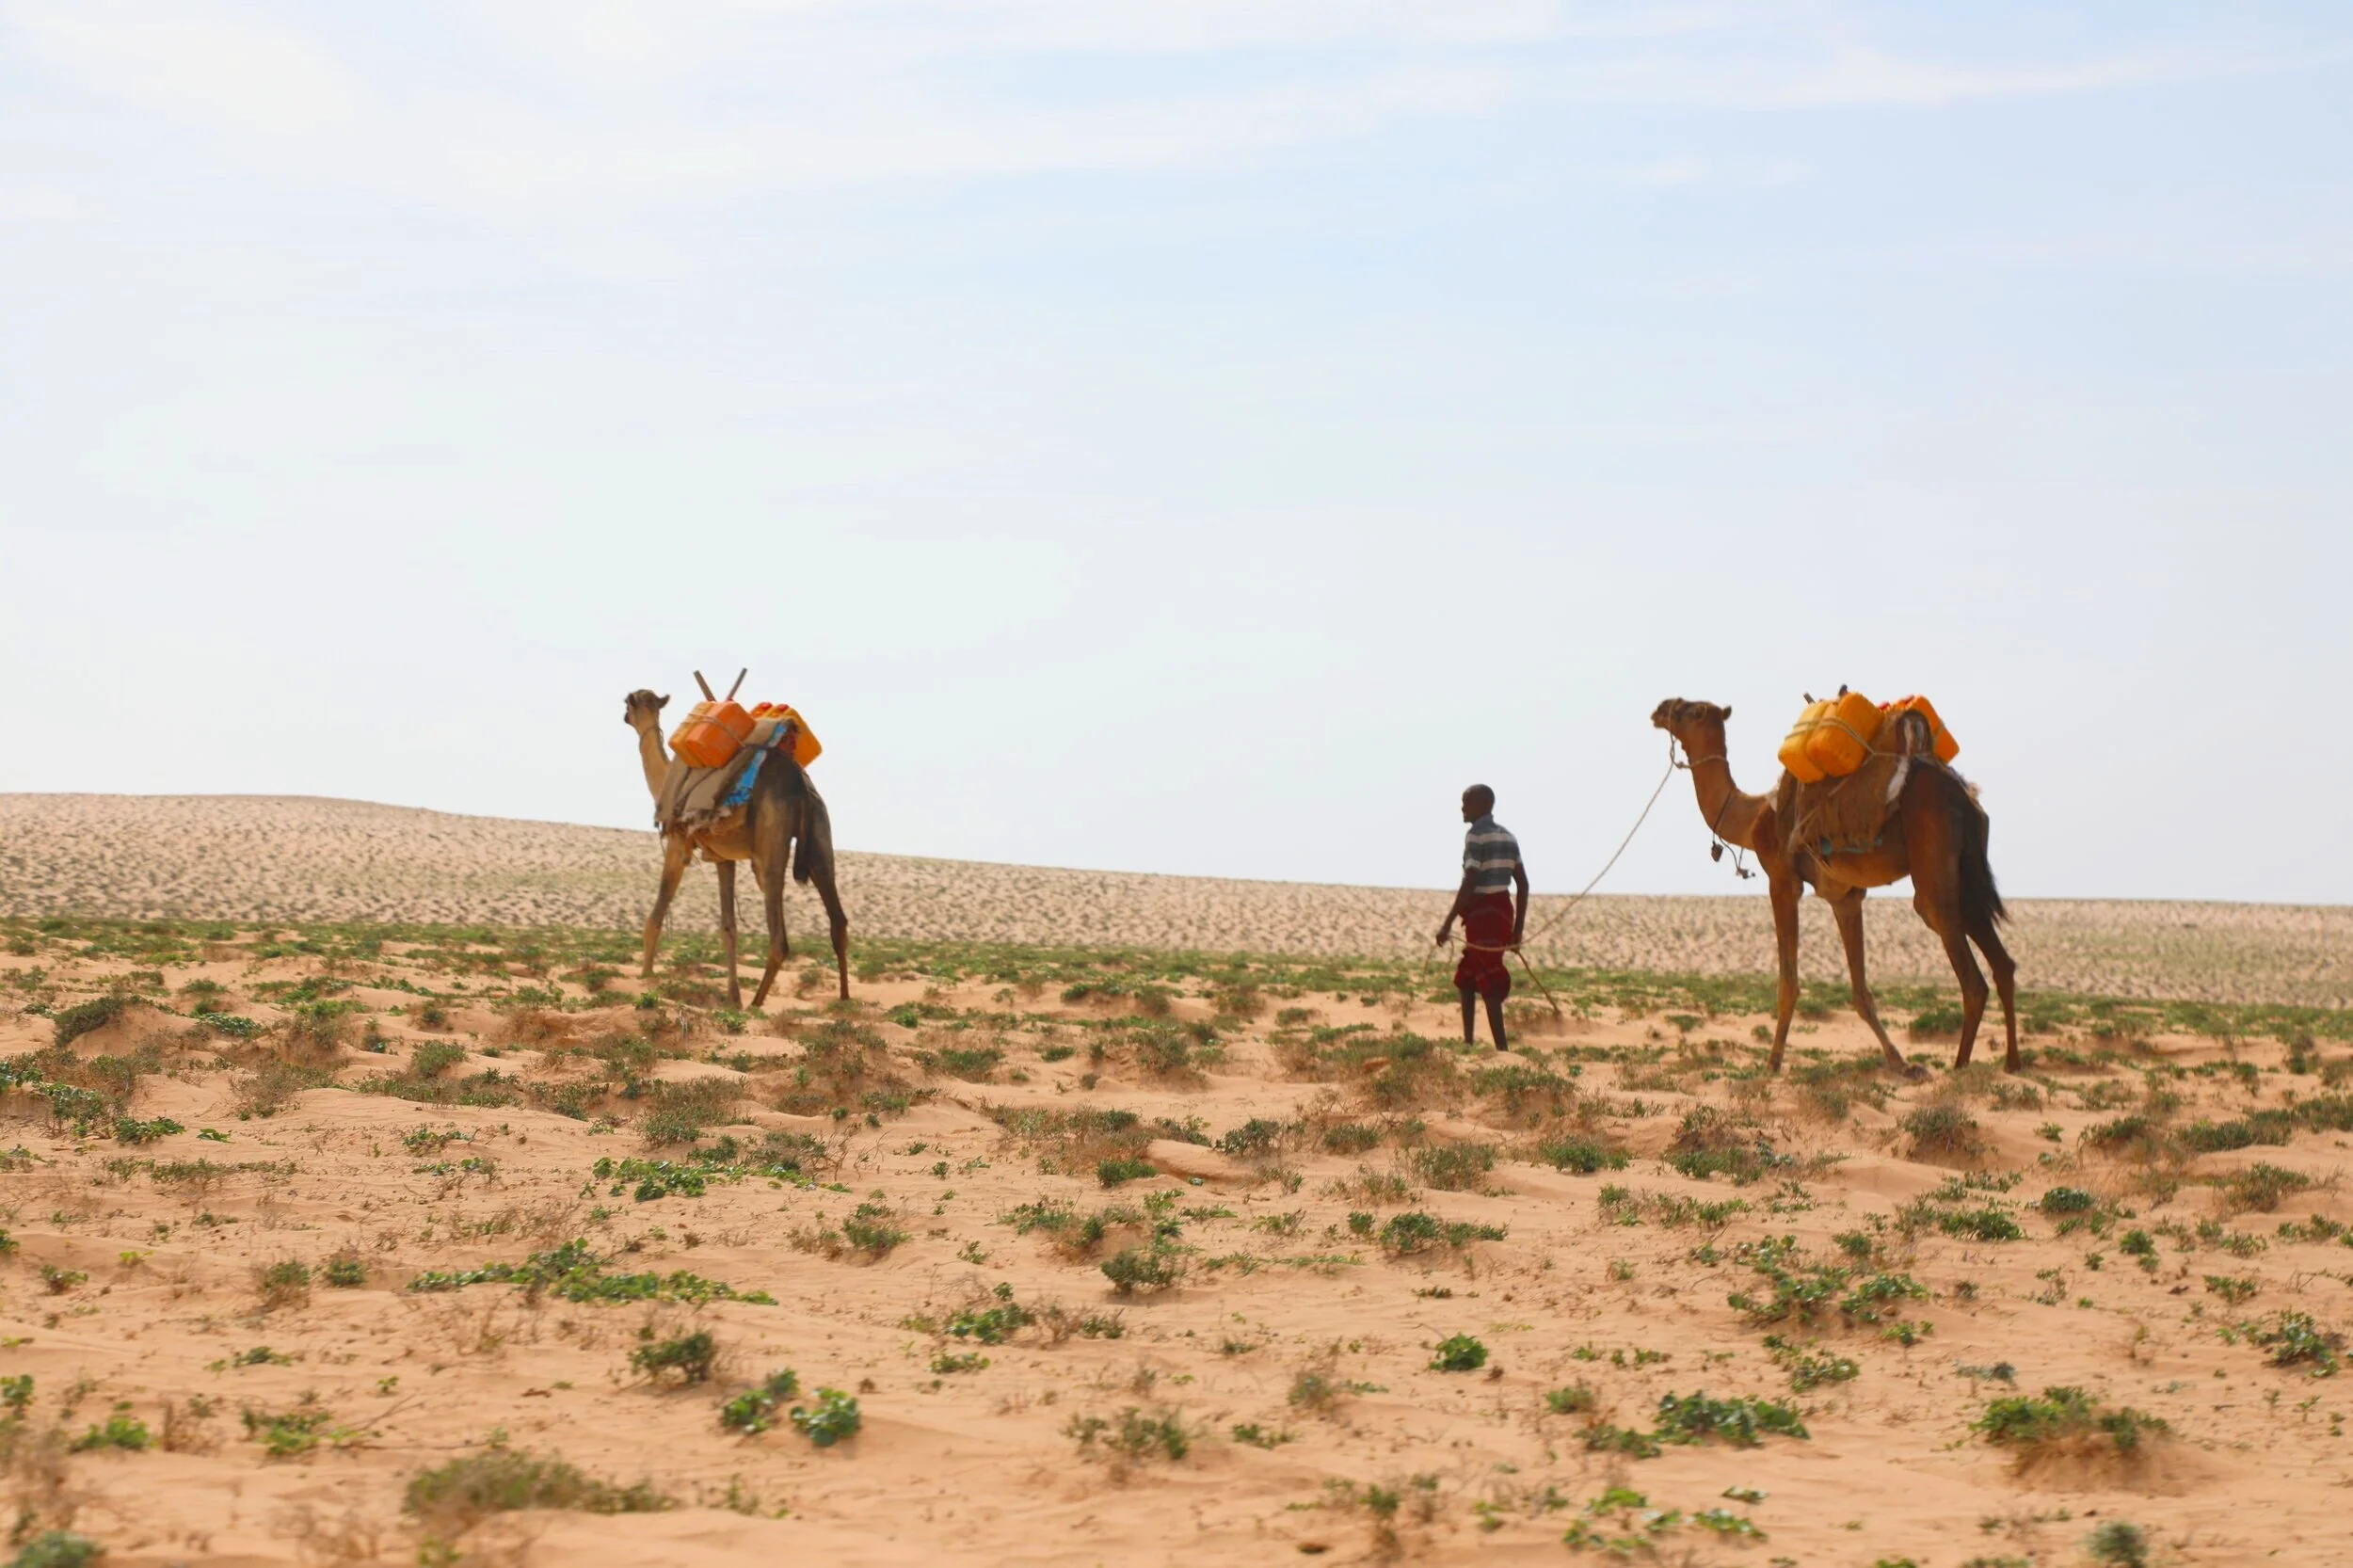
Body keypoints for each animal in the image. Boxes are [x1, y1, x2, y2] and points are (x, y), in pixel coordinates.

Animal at [624, 689, 851, 1008]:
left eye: (628, 703)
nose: (625, 716)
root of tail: (799, 783)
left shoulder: (678, 843)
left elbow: (655, 914)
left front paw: (646, 977)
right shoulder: (723, 857)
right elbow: (729, 927)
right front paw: (732, 997)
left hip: (771, 840)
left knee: (779, 938)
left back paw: (756, 1004)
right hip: (820, 832)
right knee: (837, 919)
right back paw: (843, 1000)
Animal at [1649, 699, 2018, 1075]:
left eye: (1692, 711)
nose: (1660, 709)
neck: (1753, 818)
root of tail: (1961, 793)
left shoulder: (1782, 881)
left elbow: (1788, 985)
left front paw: (1772, 1064)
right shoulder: (1844, 896)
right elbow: (1860, 992)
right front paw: (1900, 1063)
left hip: (1932, 853)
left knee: (1967, 971)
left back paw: (1959, 1069)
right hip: (1967, 868)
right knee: (2001, 962)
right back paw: (2012, 1063)